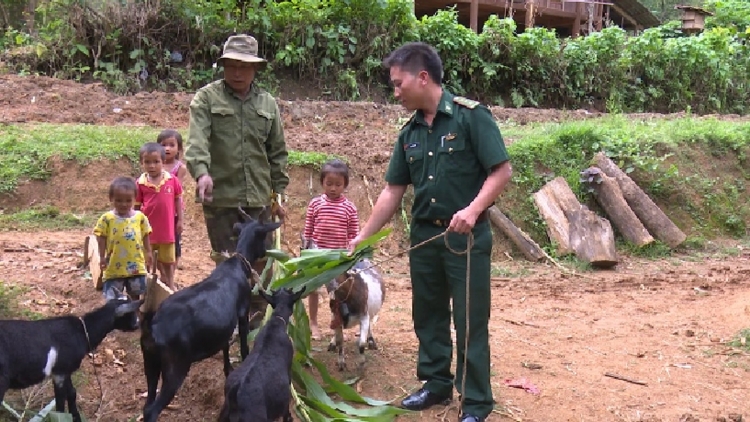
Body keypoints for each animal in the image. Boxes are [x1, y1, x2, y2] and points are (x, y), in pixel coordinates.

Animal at [0, 296, 141, 422]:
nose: (137, 324)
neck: (82, 332)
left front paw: (76, 417)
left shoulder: (65, 371)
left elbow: (72, 393)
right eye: (130, 314)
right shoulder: (60, 373)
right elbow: (60, 404)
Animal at [141, 211, 282, 422]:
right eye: (263, 235)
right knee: (152, 410)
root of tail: (153, 327)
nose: (267, 251)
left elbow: (225, 345)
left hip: (149, 362)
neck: (236, 265)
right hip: (175, 367)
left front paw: (228, 370)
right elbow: (243, 345)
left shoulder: (224, 324)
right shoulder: (242, 313)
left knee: (147, 404)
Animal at [302, 236, 388, 370]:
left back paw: (371, 341)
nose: (309, 240)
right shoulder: (336, 317)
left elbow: (362, 343)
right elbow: (340, 341)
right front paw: (341, 362)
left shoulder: (364, 316)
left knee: (370, 324)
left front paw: (362, 362)